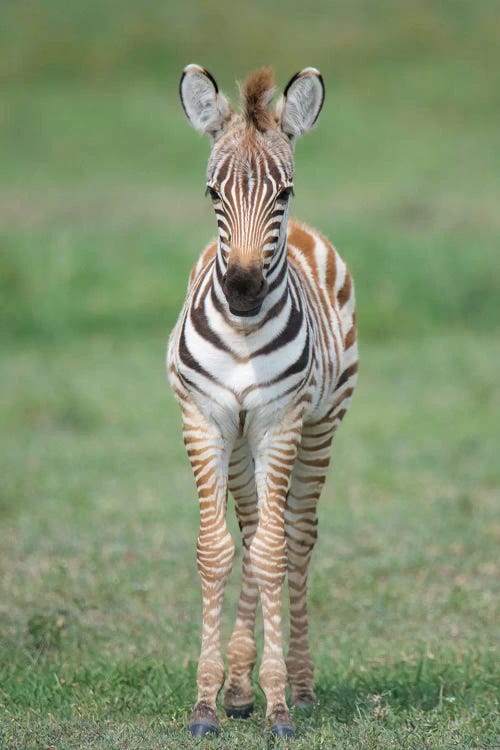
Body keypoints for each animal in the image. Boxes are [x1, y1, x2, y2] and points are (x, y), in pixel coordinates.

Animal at [168, 66, 360, 740]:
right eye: (211, 193)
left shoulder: (281, 422)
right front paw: (208, 702)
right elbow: (218, 551)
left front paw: (278, 706)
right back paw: (238, 688)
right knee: (252, 531)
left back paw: (298, 687)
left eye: (285, 192)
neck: (244, 334)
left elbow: (276, 551)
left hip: (321, 424)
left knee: (294, 535)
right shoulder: (204, 419)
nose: (245, 290)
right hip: (240, 439)